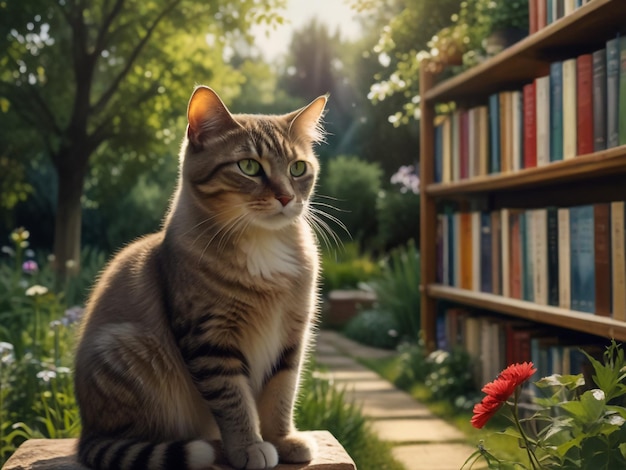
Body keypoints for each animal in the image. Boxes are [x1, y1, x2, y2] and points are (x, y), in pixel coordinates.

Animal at [73, 85, 326, 470]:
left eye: (298, 168)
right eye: (249, 166)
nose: (286, 197)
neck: (263, 243)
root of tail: (86, 432)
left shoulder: (291, 337)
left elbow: (281, 394)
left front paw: (282, 440)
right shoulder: (210, 339)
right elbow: (234, 401)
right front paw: (249, 446)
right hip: (129, 349)